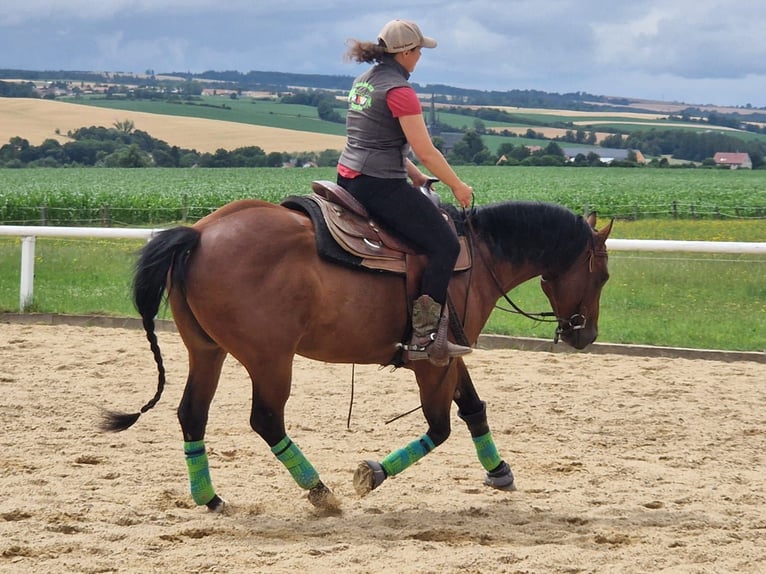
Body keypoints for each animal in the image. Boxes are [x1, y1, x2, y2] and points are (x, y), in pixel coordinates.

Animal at [101, 190, 612, 513]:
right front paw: (372, 473)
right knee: (266, 420)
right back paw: (319, 491)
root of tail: (199, 234)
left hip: (206, 351)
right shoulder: (433, 361)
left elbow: (473, 408)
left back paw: (210, 498)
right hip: (271, 360)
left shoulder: (450, 351)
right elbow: (441, 426)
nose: (585, 334)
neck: (478, 256)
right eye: (603, 275)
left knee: (192, 414)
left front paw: (500, 471)